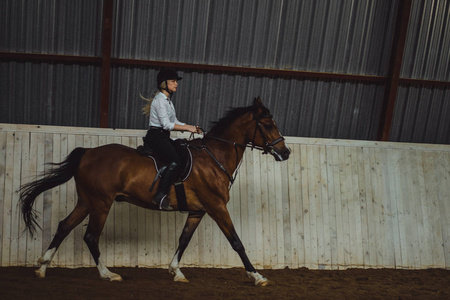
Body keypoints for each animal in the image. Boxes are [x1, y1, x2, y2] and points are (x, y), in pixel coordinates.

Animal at [19, 97, 290, 288]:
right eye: (267, 124)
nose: (285, 152)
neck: (215, 158)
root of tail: (87, 153)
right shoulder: (216, 207)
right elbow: (236, 242)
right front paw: (257, 276)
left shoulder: (198, 211)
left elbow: (183, 239)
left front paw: (176, 272)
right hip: (101, 203)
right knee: (91, 236)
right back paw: (108, 275)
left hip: (87, 201)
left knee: (64, 226)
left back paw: (42, 268)